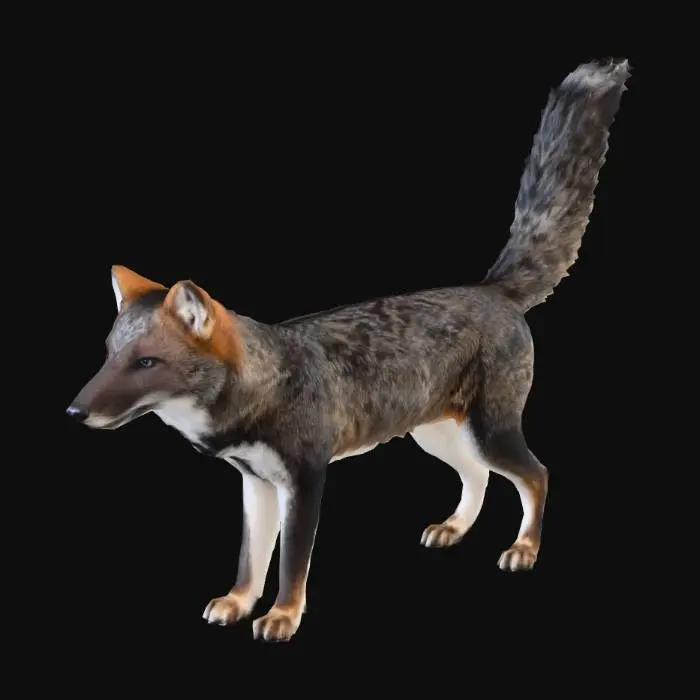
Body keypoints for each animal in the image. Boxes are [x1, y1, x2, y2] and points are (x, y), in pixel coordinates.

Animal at [68, 59, 630, 642]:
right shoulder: (255, 484)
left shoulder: (305, 482)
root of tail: (490, 290)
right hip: (436, 435)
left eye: (145, 363)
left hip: (488, 433)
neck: (265, 386)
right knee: (476, 476)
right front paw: (239, 602)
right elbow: (251, 559)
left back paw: (524, 548)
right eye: (108, 355)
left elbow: (291, 564)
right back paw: (455, 527)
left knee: (536, 475)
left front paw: (282, 616)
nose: (74, 412)